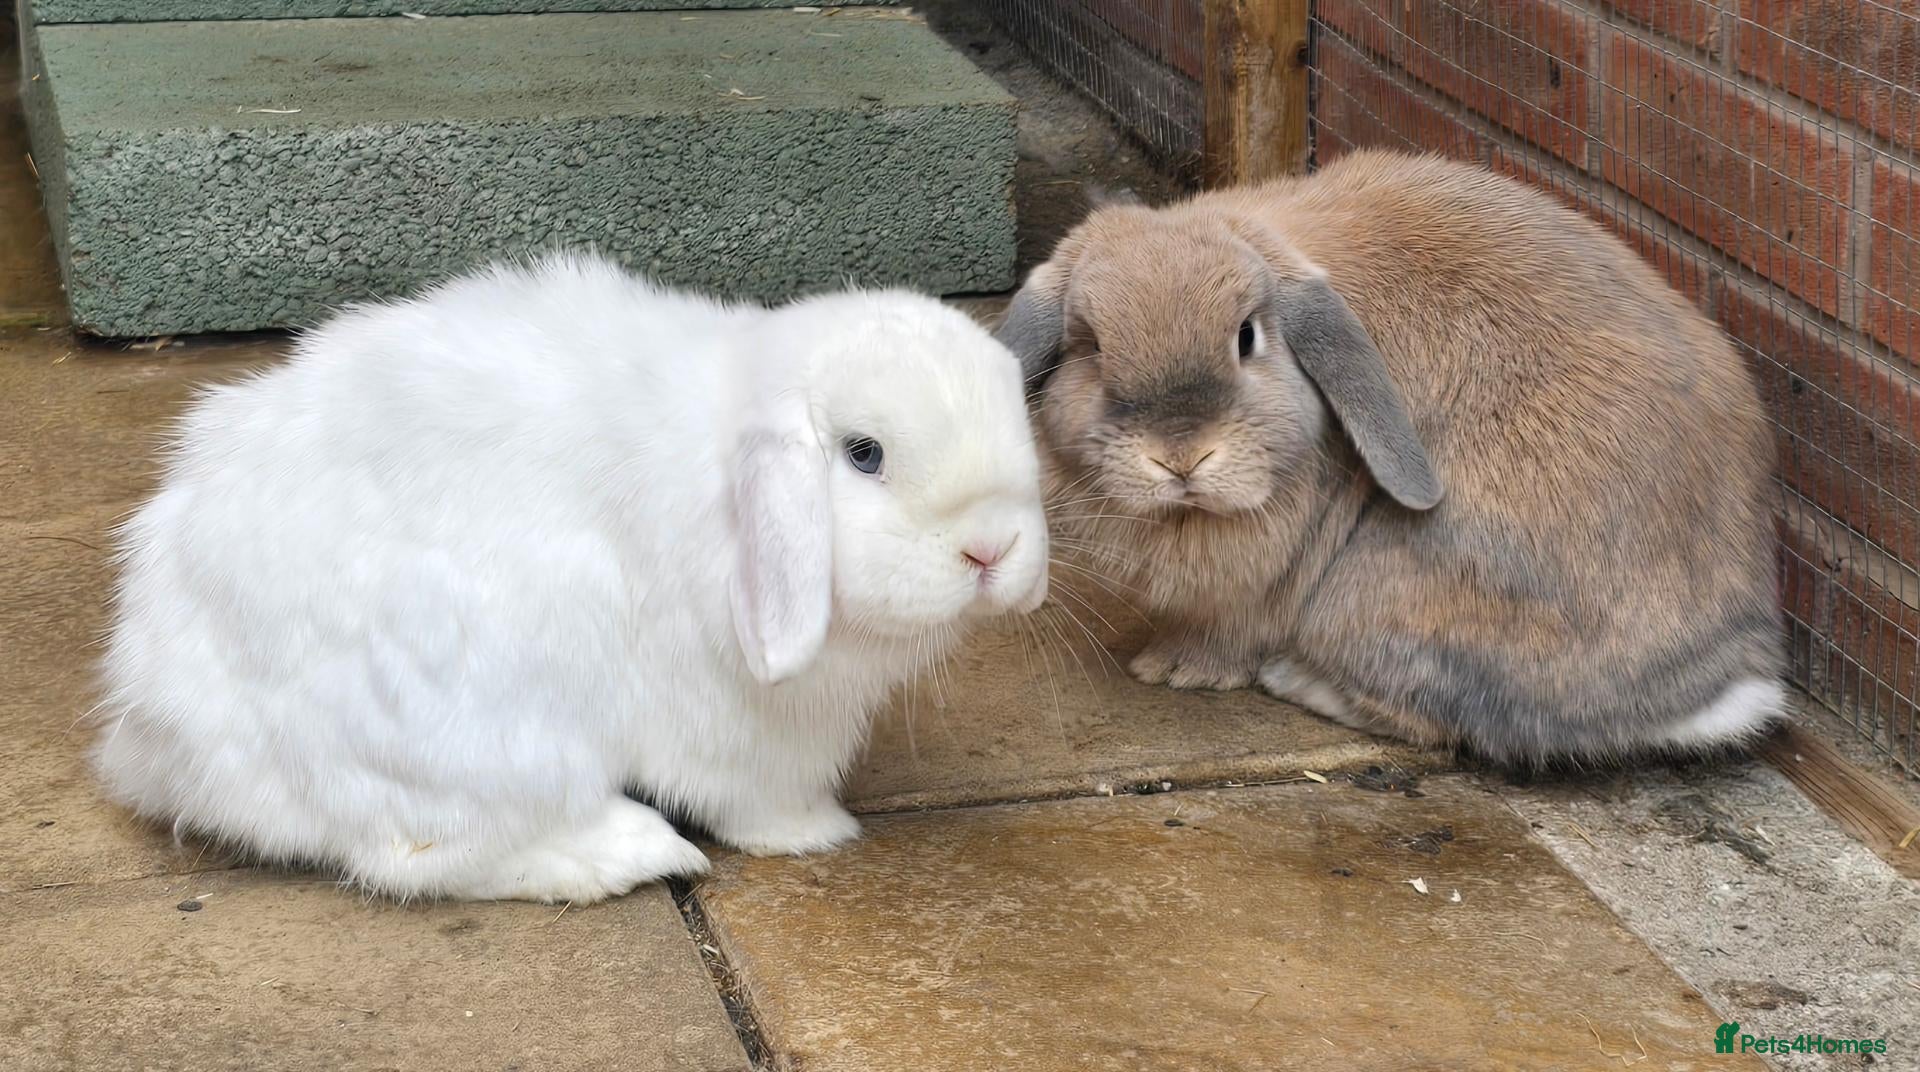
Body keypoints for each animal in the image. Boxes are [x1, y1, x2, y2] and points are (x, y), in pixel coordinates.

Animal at [94, 253, 1048, 903]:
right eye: (864, 454)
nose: (993, 549)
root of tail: (163, 742)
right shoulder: (732, 720)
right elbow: (753, 792)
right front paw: (814, 834)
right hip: (487, 717)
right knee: (419, 856)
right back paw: (628, 853)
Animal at [997, 149, 1783, 764]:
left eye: (1248, 336)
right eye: (1090, 348)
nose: (1182, 458)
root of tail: (1710, 684)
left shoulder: (1265, 586)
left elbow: (1232, 633)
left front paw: (1175, 670)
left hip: (1370, 598)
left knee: (1430, 720)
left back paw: (1296, 680)